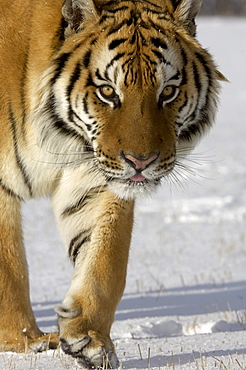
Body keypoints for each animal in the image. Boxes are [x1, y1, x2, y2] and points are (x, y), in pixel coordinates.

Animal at [0, 0, 225, 368]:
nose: (140, 161)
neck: (59, 138)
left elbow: (106, 258)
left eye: (168, 92)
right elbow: (9, 269)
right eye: (107, 91)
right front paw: (24, 344)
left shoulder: (94, 181)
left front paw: (89, 340)